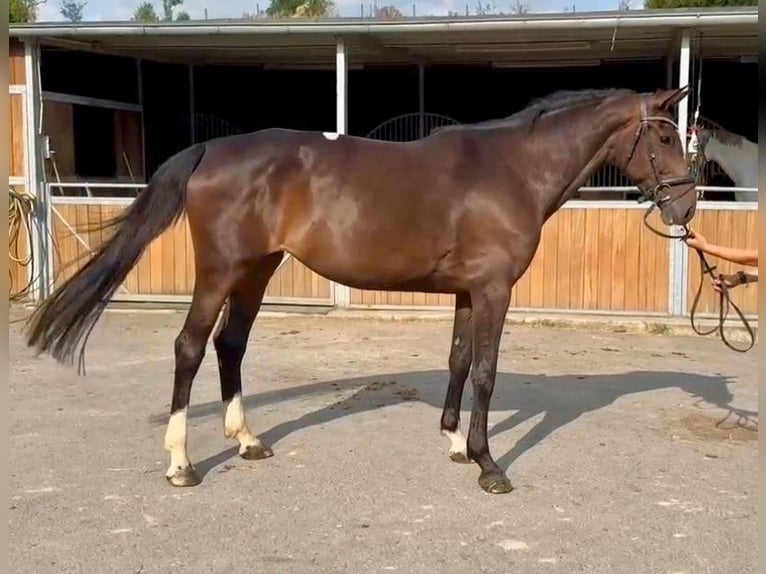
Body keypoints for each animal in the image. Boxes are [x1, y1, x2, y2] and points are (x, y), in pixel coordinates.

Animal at [24, 85, 700, 496]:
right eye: (666, 137)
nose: (687, 205)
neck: (511, 170)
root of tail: (210, 148)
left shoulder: (468, 291)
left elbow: (459, 361)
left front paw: (455, 444)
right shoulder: (494, 290)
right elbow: (485, 372)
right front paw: (488, 465)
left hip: (258, 269)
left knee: (230, 345)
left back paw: (248, 442)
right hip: (220, 270)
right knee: (190, 347)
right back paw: (181, 464)